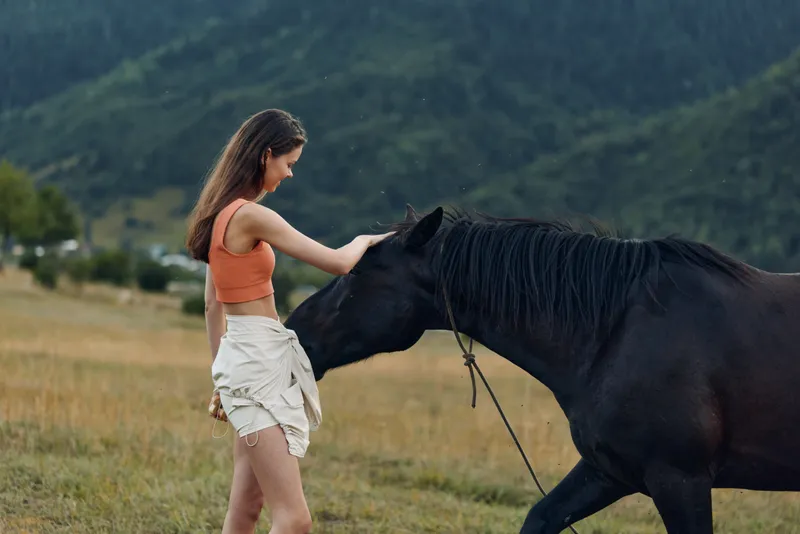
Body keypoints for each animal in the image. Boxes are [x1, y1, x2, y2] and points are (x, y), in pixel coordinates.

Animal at [283, 204, 800, 534]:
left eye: (357, 271)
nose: (294, 328)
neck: (617, 331)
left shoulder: (680, 479)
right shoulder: (610, 471)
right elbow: (541, 517)